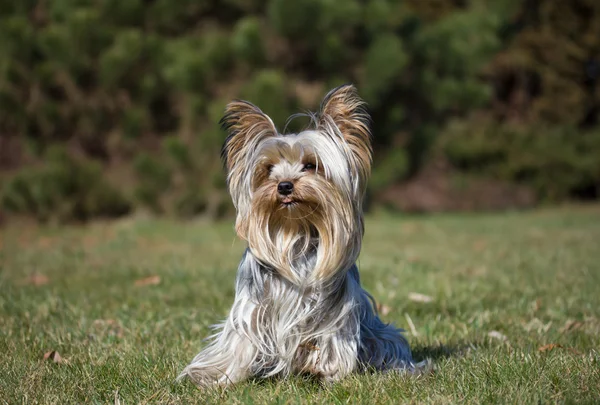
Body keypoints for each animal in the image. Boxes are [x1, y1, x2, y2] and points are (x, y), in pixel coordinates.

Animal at [179, 83, 412, 384]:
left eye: (311, 165)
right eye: (268, 170)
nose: (284, 185)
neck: (295, 231)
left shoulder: (336, 315)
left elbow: (330, 341)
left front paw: (327, 372)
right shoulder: (252, 307)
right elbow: (241, 340)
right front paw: (221, 377)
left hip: (381, 334)